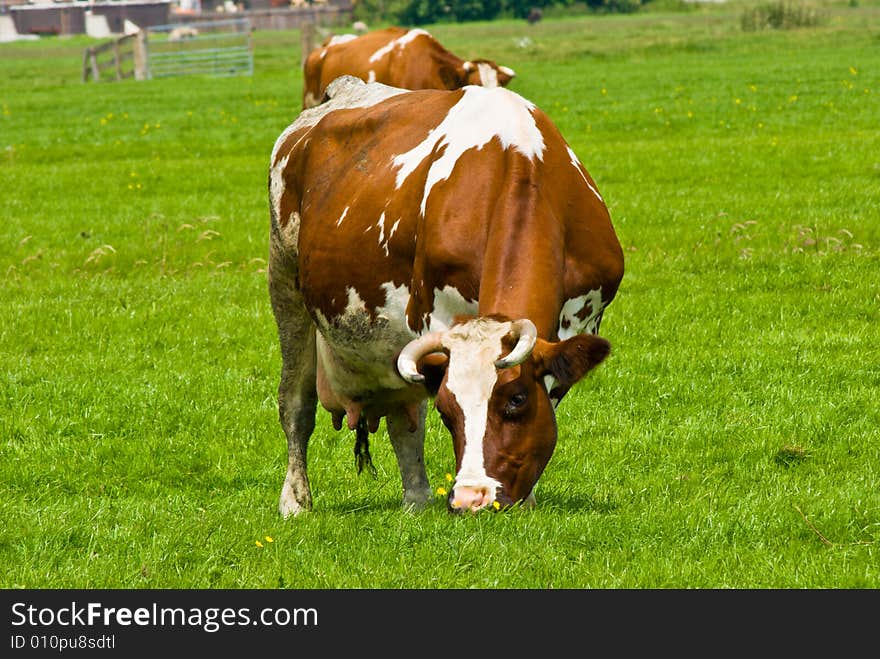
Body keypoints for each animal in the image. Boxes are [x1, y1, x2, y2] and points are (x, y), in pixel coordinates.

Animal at [270, 73, 624, 516]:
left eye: (516, 400)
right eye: (447, 410)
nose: (472, 498)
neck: (522, 164)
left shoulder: (582, 319)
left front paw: (527, 499)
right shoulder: (434, 320)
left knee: (403, 416)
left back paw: (417, 500)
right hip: (285, 280)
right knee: (297, 403)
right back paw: (295, 500)